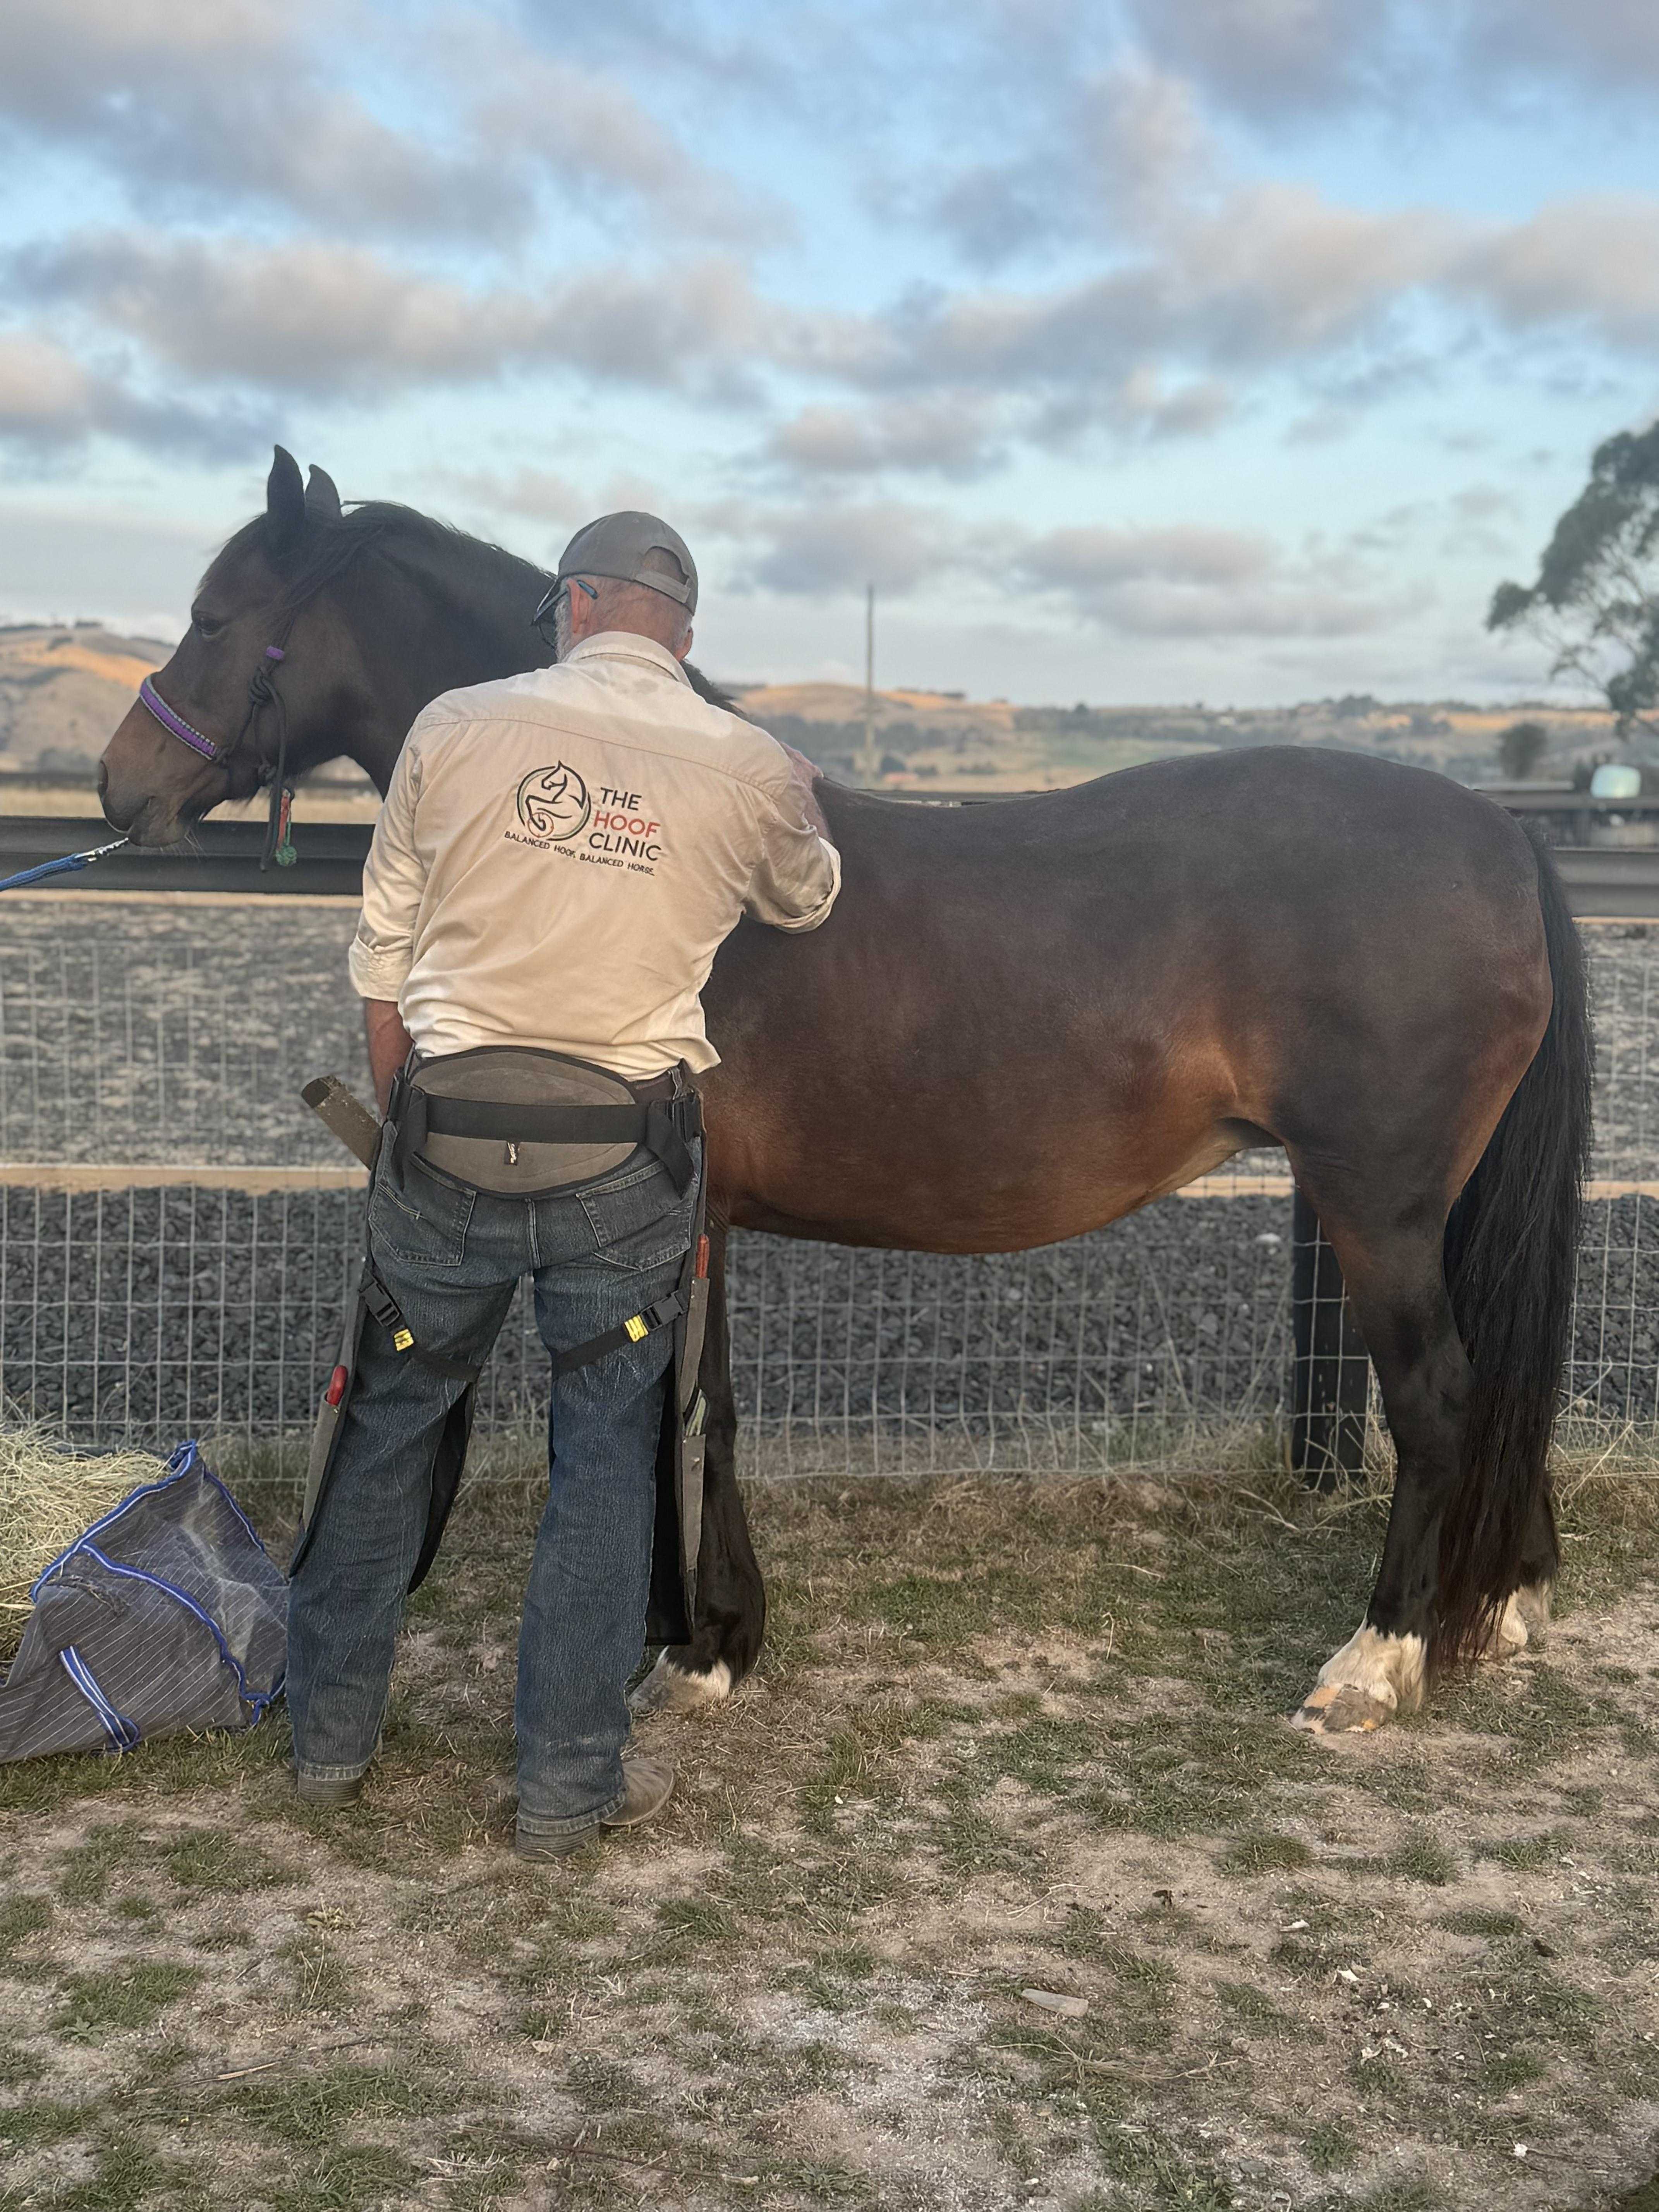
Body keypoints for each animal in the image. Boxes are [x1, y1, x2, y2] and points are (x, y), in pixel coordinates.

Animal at [98, 448, 1591, 1737]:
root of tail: (1498, 835)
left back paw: (1375, 1659)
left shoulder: (681, 1214)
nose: (121, 779)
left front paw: (697, 1648)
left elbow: (689, 1418)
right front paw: (714, 1638)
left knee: (1441, 1396)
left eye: (217, 617)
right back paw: (1509, 1601)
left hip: (1376, 1207)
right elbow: (702, 1409)